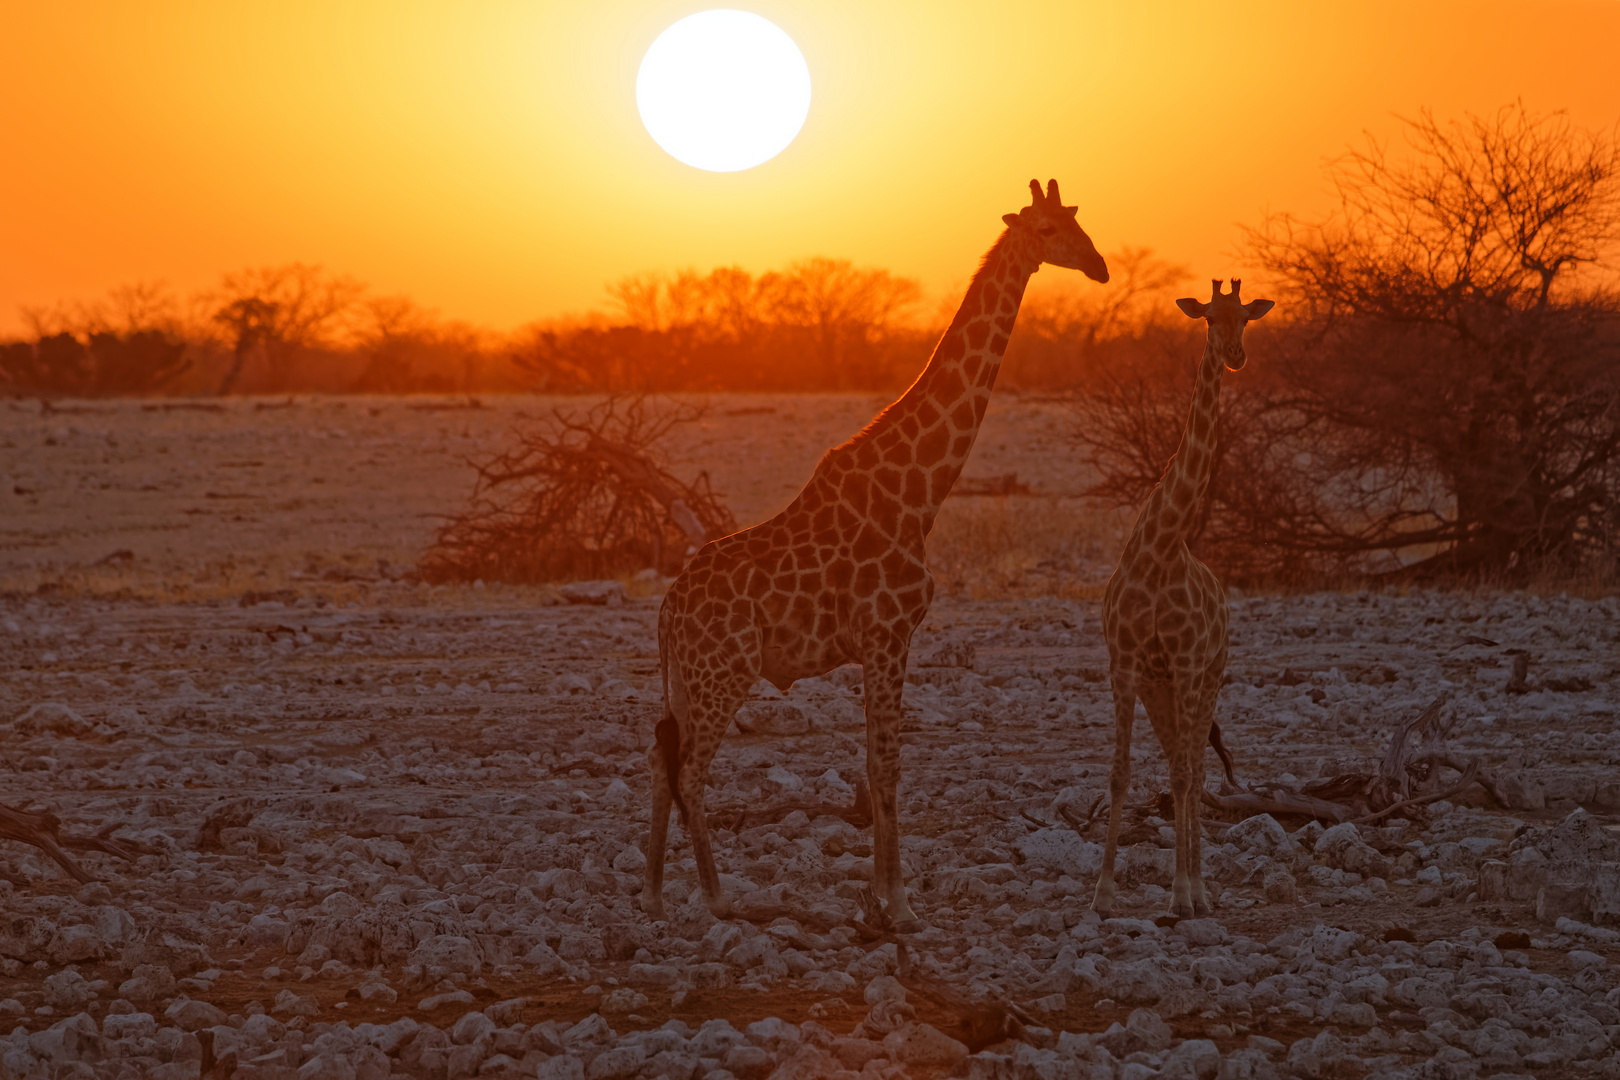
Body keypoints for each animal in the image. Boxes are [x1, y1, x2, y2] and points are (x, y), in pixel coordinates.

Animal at [644, 179, 1114, 932]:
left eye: (1078, 221)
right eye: (1046, 231)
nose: (1099, 266)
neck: (920, 490)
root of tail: (665, 614)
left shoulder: (876, 641)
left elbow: (874, 759)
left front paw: (881, 897)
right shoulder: (890, 631)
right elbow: (888, 762)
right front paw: (900, 904)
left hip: (688, 680)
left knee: (661, 758)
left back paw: (657, 893)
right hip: (724, 674)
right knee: (690, 768)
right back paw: (718, 898)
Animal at [1095, 278, 1270, 919]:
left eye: (1247, 317)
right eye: (1209, 317)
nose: (1236, 355)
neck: (1161, 546)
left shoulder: (1190, 663)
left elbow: (1188, 775)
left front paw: (1182, 892)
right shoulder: (1125, 665)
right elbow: (1121, 773)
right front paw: (1101, 894)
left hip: (1208, 674)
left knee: (1192, 768)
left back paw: (1196, 892)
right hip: (1161, 686)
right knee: (1178, 761)